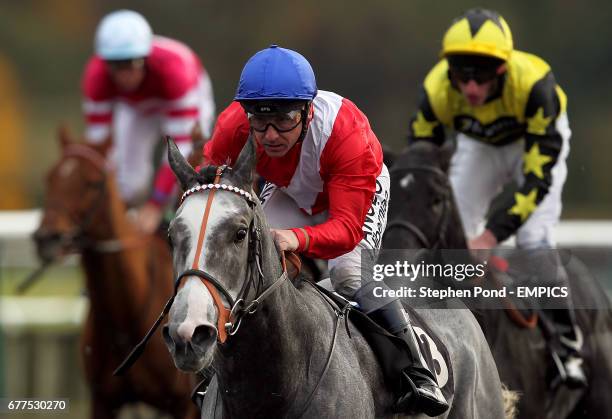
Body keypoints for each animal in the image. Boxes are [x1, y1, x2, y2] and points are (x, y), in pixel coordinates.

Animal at [34, 128, 198, 419]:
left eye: (92, 183)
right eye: (50, 178)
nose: (47, 239)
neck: (126, 316)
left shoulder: (184, 406)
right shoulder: (102, 400)